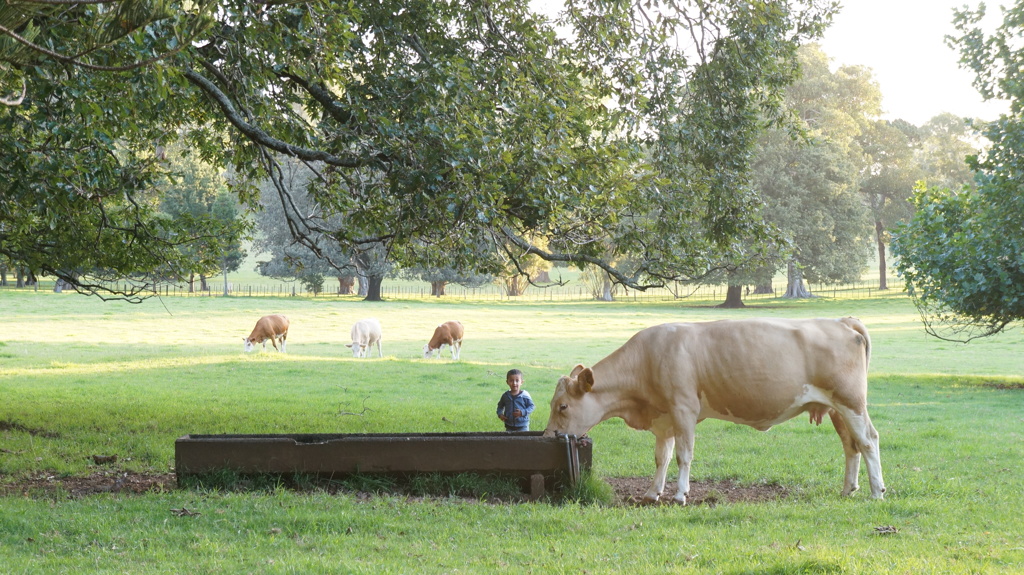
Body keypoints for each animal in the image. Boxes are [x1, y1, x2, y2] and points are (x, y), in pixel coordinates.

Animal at [540, 317, 884, 501]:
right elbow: (661, 457)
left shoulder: (683, 409)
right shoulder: (664, 417)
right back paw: (848, 489)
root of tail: (841, 320)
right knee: (851, 445)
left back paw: (877, 491)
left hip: (851, 402)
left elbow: (683, 455)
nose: (546, 436)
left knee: (868, 440)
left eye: (563, 406)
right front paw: (652, 493)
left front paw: (680, 494)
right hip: (837, 408)